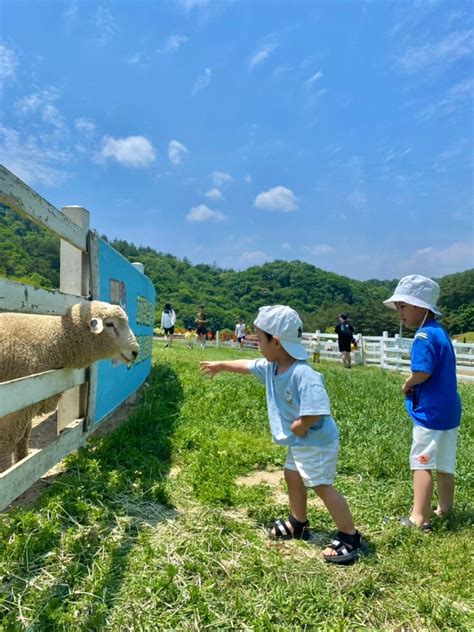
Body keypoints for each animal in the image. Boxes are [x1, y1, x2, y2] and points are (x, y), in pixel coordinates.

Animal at [0, 302, 140, 474]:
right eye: (109, 324)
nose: (135, 352)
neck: (52, 342)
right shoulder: (13, 412)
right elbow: (6, 449)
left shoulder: (25, 407)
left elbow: (23, 442)